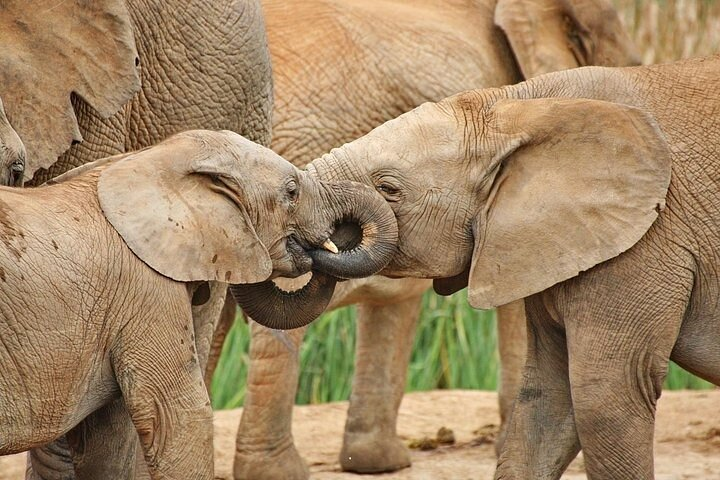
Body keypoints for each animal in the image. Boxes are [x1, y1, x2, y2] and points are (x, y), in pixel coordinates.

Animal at [0, 129, 396, 480]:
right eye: (292, 191)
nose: (333, 240)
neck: (148, 160)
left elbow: (106, 441)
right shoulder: (146, 291)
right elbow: (180, 417)